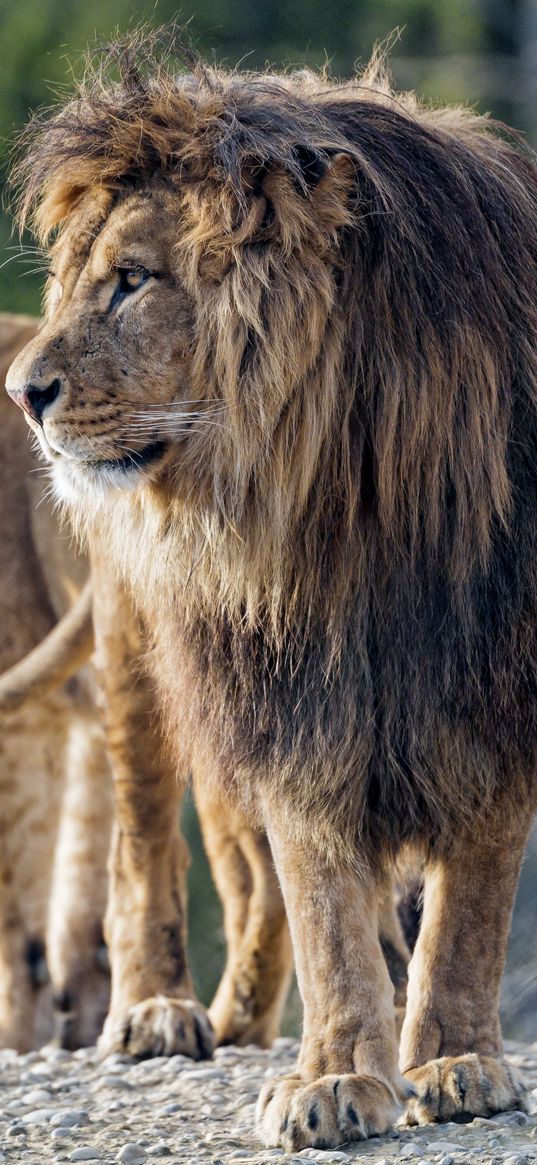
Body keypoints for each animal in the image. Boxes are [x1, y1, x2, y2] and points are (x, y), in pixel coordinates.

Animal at [5, 43, 535, 1146]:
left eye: (132, 281)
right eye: (73, 284)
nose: (21, 394)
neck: (343, 496)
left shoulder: (494, 677)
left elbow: (469, 899)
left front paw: (456, 1057)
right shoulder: (291, 691)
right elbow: (322, 889)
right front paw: (333, 1075)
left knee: (250, 880)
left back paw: (255, 1015)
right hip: (141, 652)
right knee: (145, 842)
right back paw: (160, 1010)